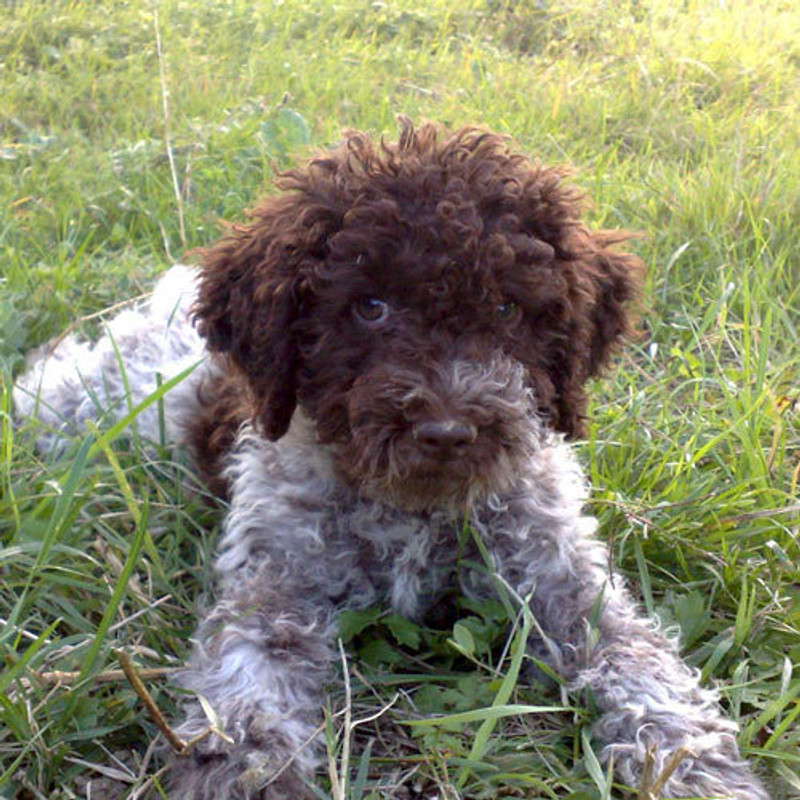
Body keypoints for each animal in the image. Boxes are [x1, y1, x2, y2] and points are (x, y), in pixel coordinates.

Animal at [14, 120, 768, 800]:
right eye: (369, 306)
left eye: (507, 308)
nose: (447, 431)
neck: (412, 503)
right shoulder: (276, 587)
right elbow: (249, 693)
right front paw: (252, 775)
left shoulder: (562, 580)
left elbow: (638, 664)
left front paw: (690, 765)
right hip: (105, 399)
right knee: (56, 378)